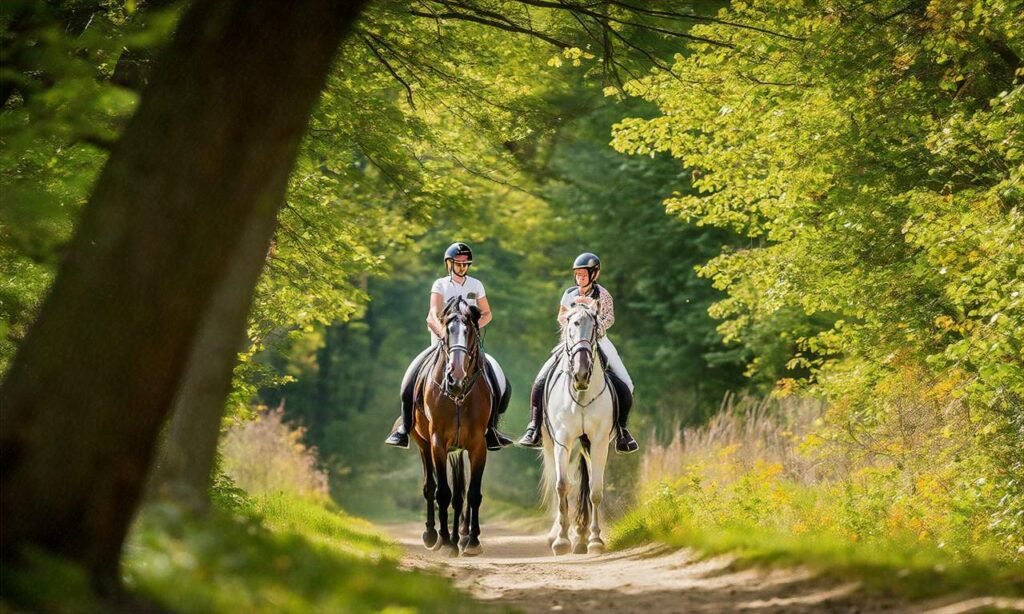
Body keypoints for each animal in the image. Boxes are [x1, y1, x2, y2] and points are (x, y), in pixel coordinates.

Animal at [413, 296, 493, 556]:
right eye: (447, 330)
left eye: (469, 331)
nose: (455, 379)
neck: (458, 396)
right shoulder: (437, 443)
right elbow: (442, 493)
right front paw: (446, 542)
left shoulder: (478, 446)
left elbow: (473, 493)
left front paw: (472, 541)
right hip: (423, 444)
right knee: (431, 487)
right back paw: (432, 536)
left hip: (458, 451)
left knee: (460, 495)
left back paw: (462, 536)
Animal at [540, 302, 610, 556]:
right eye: (571, 327)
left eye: (594, 328)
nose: (581, 374)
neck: (581, 395)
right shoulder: (563, 439)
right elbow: (562, 486)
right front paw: (561, 541)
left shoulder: (598, 442)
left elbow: (594, 490)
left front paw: (595, 540)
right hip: (550, 444)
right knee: (559, 482)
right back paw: (557, 536)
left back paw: (581, 538)